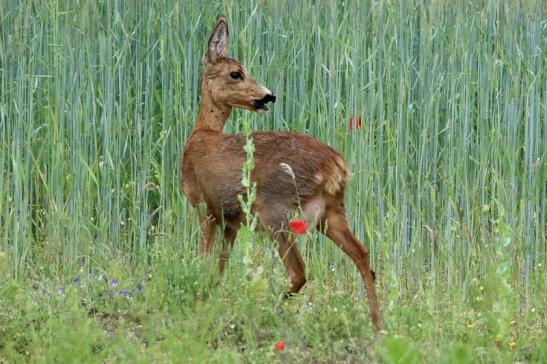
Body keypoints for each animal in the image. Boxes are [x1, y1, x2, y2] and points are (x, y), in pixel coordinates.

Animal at [182, 16, 384, 330]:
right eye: (236, 73)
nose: (269, 96)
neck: (200, 135)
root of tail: (336, 164)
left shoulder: (205, 205)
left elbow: (205, 257)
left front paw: (201, 294)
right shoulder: (231, 220)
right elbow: (221, 266)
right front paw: (213, 294)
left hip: (275, 211)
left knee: (299, 270)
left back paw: (268, 311)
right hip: (331, 212)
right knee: (362, 253)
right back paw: (378, 324)